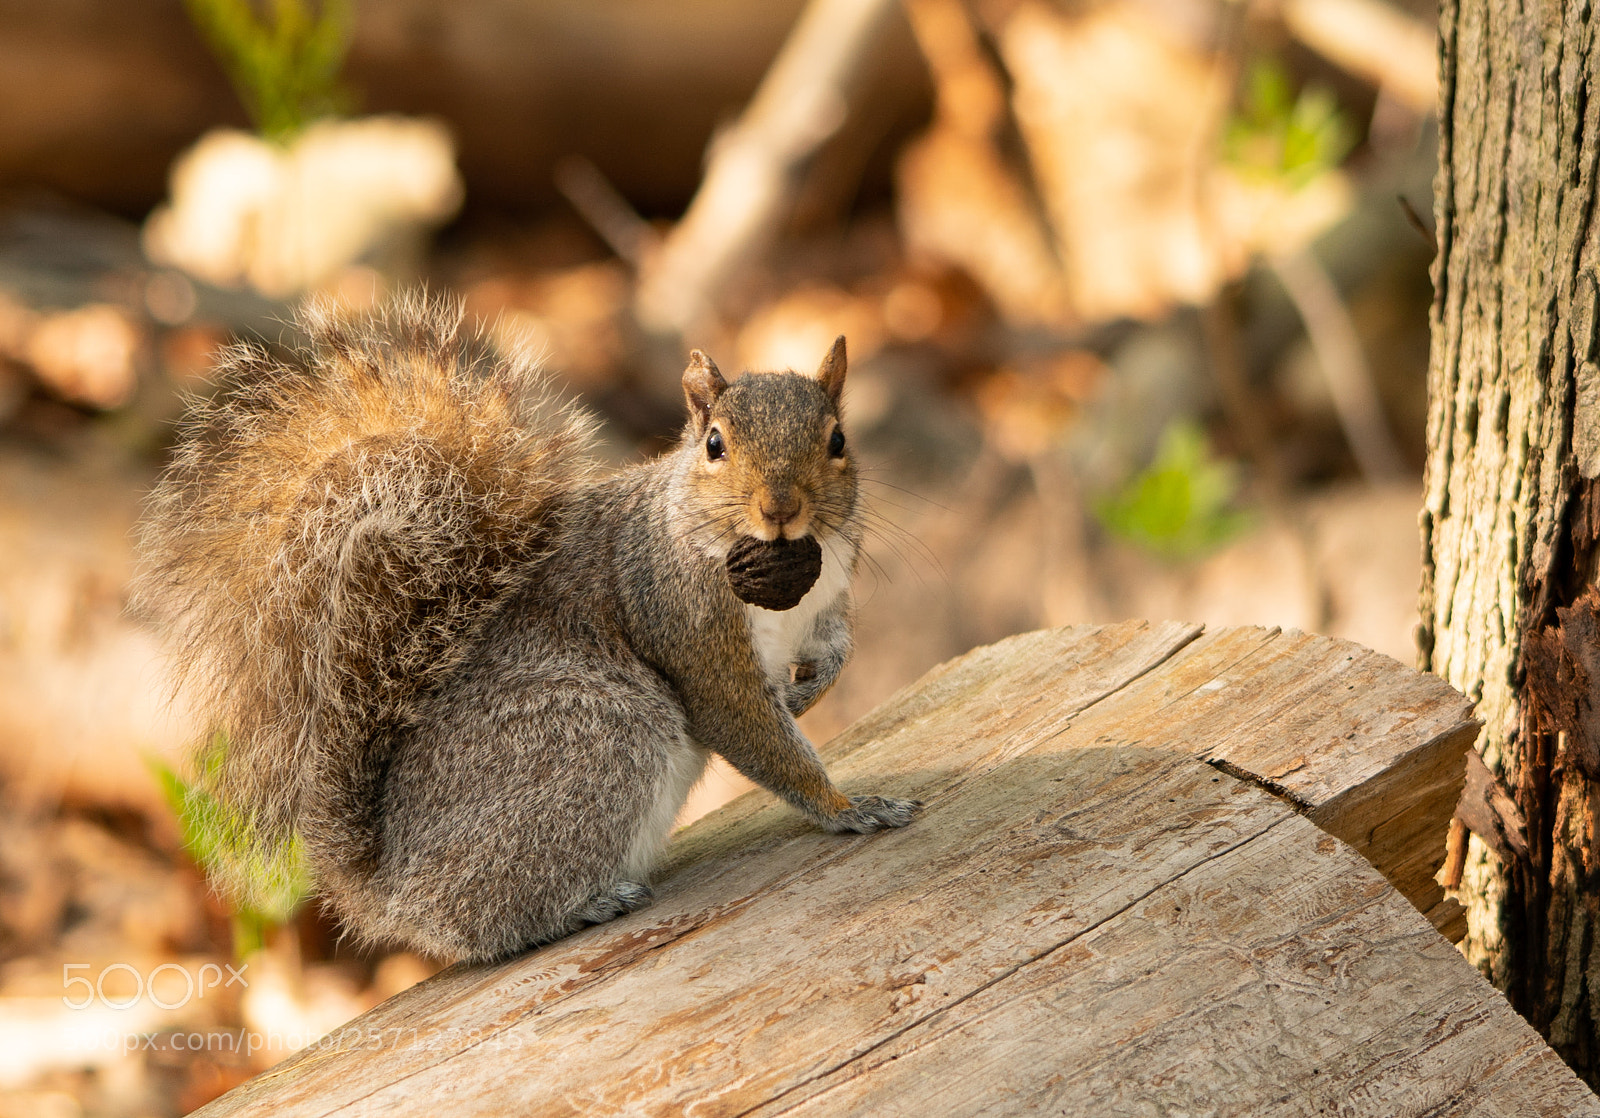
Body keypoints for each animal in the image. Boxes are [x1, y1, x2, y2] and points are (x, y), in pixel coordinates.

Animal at [137, 292, 920, 963]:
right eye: (715, 446)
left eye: (839, 440)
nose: (780, 508)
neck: (784, 571)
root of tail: (389, 888)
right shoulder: (689, 626)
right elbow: (755, 733)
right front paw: (848, 807)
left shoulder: (829, 594)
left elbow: (835, 648)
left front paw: (812, 689)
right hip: (596, 734)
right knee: (480, 923)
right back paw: (578, 908)